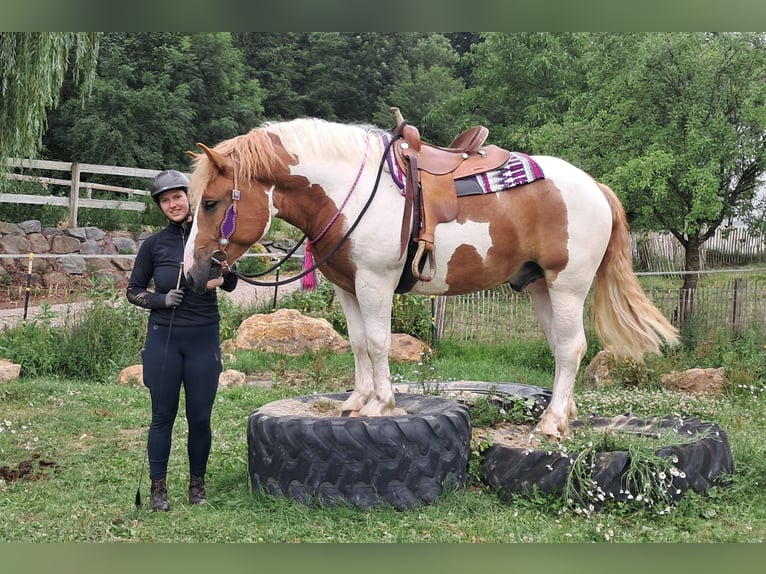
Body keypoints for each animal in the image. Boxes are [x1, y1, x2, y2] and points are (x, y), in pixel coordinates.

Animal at [183, 117, 679, 439]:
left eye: (210, 203)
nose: (193, 272)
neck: (347, 195)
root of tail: (596, 187)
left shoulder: (375, 283)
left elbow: (379, 342)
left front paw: (380, 405)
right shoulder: (347, 287)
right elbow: (358, 343)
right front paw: (356, 402)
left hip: (568, 286)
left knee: (573, 347)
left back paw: (552, 423)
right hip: (539, 286)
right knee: (561, 348)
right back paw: (565, 414)